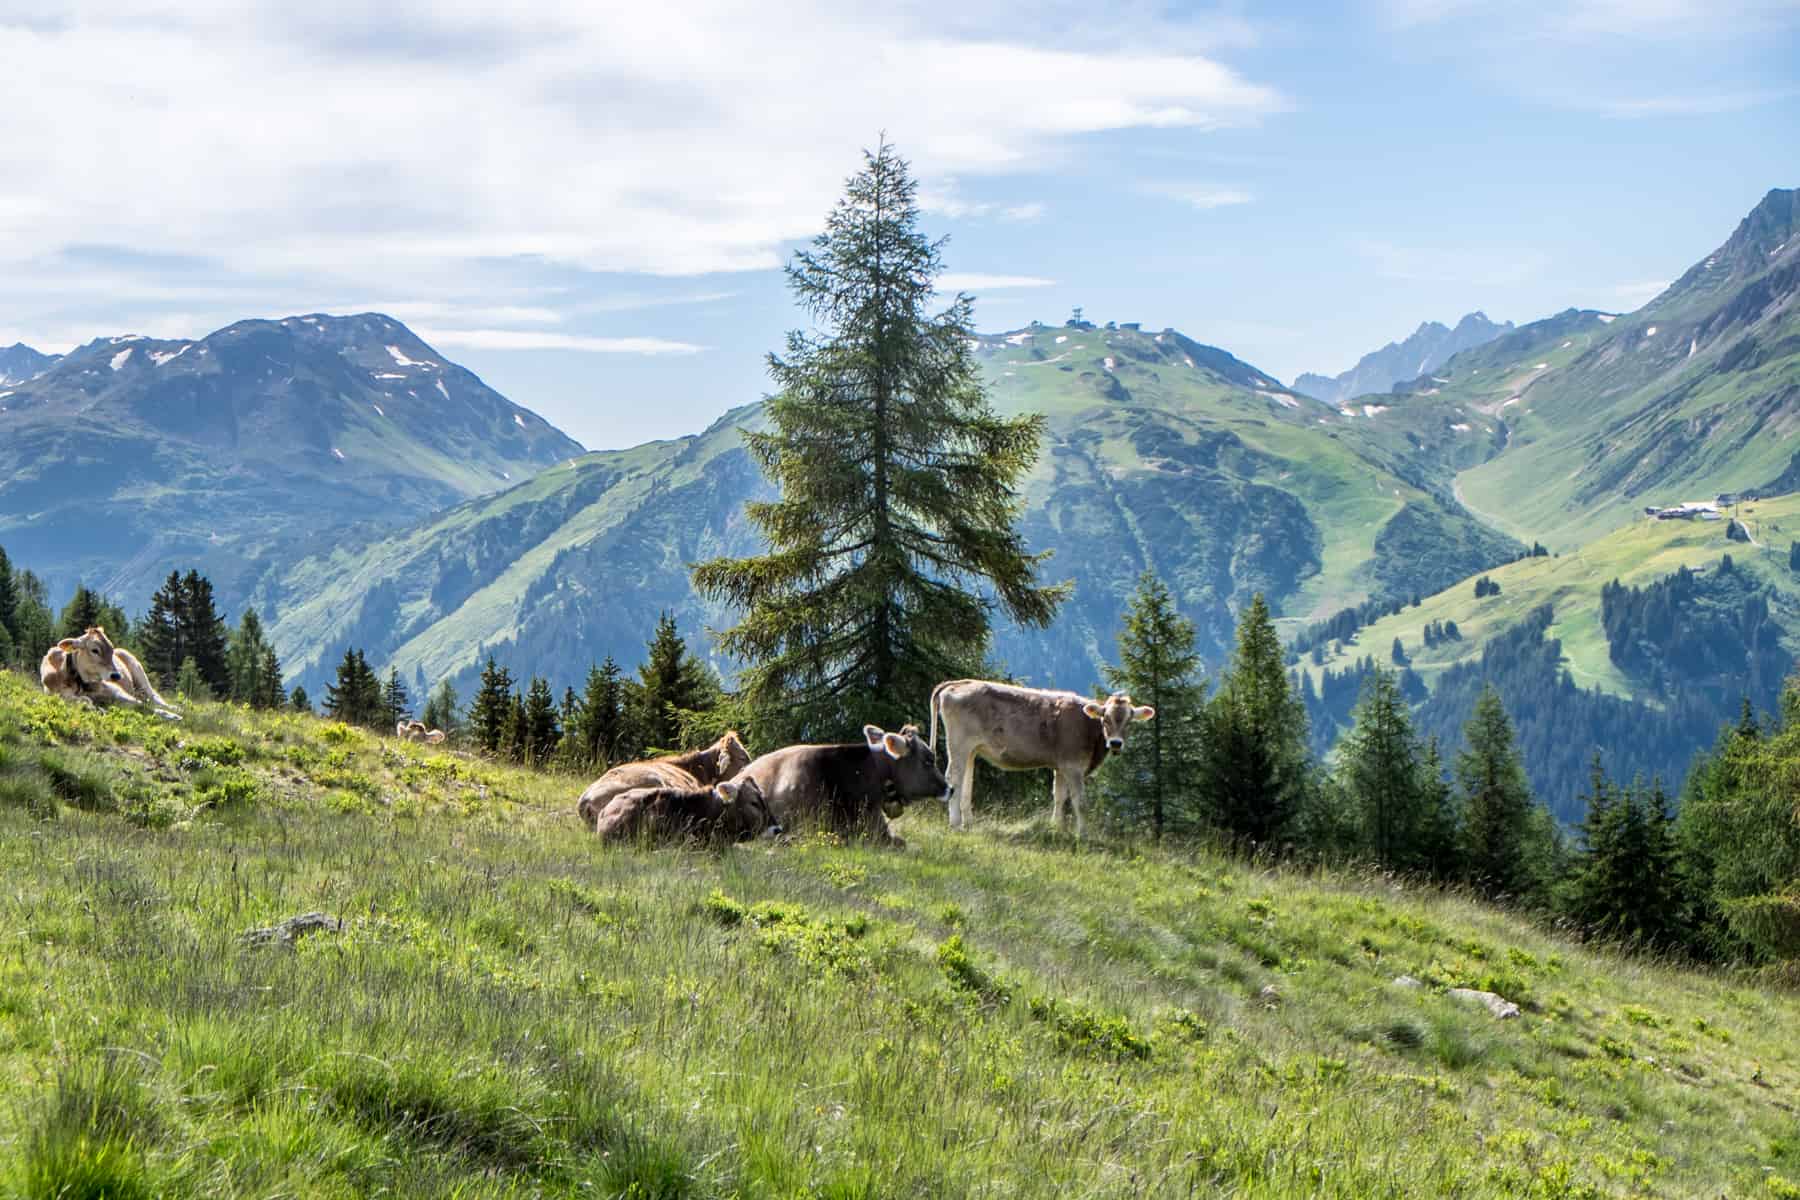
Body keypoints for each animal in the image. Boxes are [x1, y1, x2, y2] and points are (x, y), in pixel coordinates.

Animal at [39, 629, 180, 723]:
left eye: (111, 650)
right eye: (95, 650)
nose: (116, 675)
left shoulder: (116, 690)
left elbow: (141, 705)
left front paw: (172, 716)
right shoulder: (58, 694)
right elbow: (84, 701)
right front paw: (97, 708)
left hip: (139, 673)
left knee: (153, 697)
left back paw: (176, 708)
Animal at [928, 680, 1152, 841]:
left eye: (1129, 721)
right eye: (1105, 718)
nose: (1116, 743)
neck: (1089, 727)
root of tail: (959, 683)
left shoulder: (1062, 766)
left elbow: (1059, 797)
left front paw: (1056, 829)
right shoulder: (1073, 766)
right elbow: (1079, 801)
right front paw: (1083, 835)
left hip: (971, 749)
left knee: (966, 781)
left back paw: (969, 822)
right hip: (959, 743)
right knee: (954, 778)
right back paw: (956, 824)